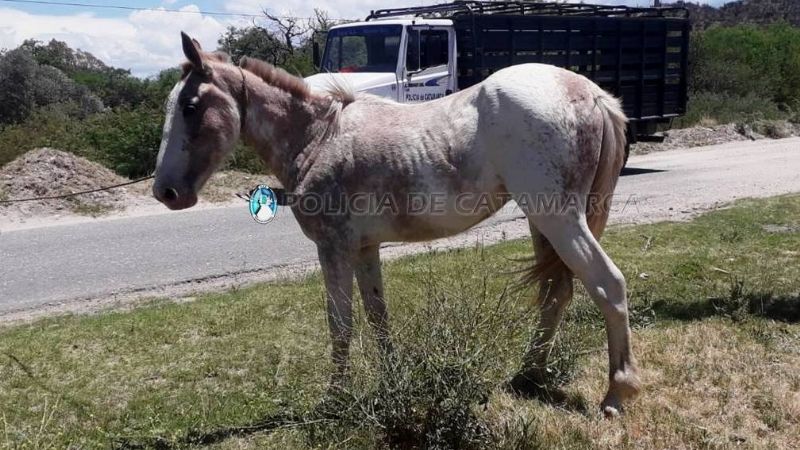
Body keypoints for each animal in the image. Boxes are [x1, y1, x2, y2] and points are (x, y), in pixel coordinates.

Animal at [153, 32, 640, 416]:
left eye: (191, 106)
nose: (166, 192)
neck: (319, 137)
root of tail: (591, 93)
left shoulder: (333, 249)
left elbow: (341, 323)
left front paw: (335, 399)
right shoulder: (365, 250)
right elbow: (377, 316)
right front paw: (392, 381)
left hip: (559, 219)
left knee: (607, 284)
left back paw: (617, 393)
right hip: (546, 224)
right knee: (556, 293)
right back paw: (528, 375)